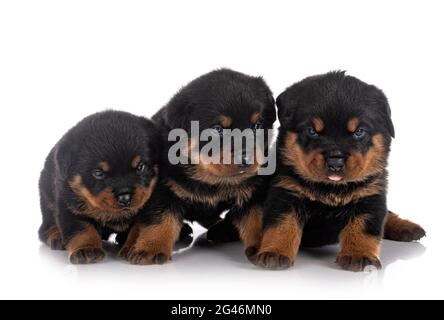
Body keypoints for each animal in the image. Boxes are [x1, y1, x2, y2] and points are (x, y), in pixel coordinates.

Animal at [38, 111, 160, 264]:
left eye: (140, 167)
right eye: (98, 173)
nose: (125, 198)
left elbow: (138, 229)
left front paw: (133, 246)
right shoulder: (69, 206)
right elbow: (82, 229)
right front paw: (87, 249)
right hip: (47, 198)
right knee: (45, 227)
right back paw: (56, 236)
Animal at [119, 68, 276, 264]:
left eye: (257, 125)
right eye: (217, 129)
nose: (246, 158)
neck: (210, 179)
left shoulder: (254, 190)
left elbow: (255, 219)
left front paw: (266, 246)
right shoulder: (162, 188)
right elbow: (160, 219)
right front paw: (151, 248)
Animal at [250, 71, 426, 272]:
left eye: (359, 132)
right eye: (312, 131)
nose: (335, 161)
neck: (331, 188)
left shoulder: (370, 196)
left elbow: (364, 228)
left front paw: (359, 255)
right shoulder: (286, 192)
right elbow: (281, 225)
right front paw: (274, 252)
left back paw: (406, 227)